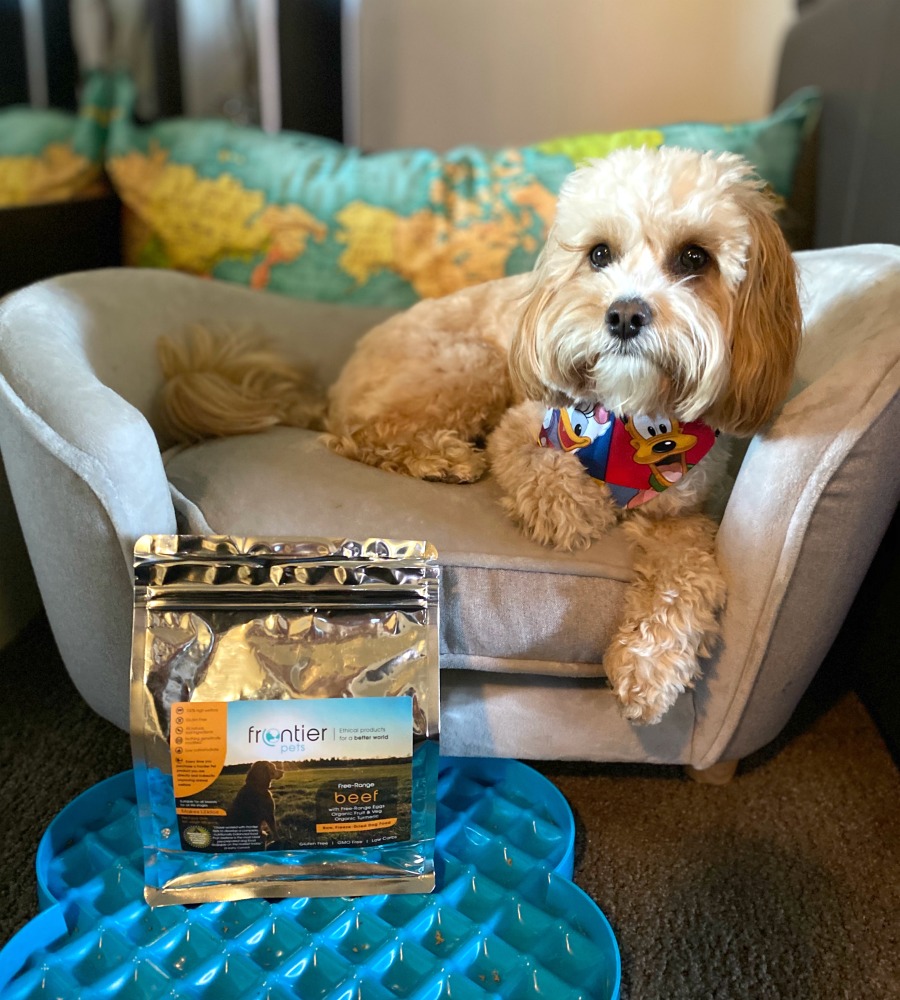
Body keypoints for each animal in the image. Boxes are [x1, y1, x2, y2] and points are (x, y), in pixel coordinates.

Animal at [156, 146, 800, 720]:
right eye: (599, 254)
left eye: (695, 257)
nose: (623, 315)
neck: (634, 425)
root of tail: (337, 385)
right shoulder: (525, 425)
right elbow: (545, 475)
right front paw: (577, 508)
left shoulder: (684, 513)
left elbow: (686, 576)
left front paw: (651, 666)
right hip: (472, 364)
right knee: (361, 432)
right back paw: (445, 457)